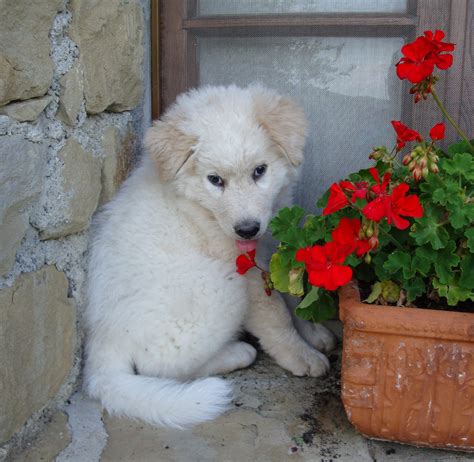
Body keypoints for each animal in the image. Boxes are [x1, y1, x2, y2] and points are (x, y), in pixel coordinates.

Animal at [86, 84, 336, 430]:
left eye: (260, 171)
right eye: (215, 180)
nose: (247, 229)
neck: (199, 207)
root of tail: (102, 342)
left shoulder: (268, 245)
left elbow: (291, 298)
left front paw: (313, 332)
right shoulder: (246, 272)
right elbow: (275, 316)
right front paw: (302, 355)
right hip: (219, 286)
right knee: (161, 366)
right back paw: (237, 353)